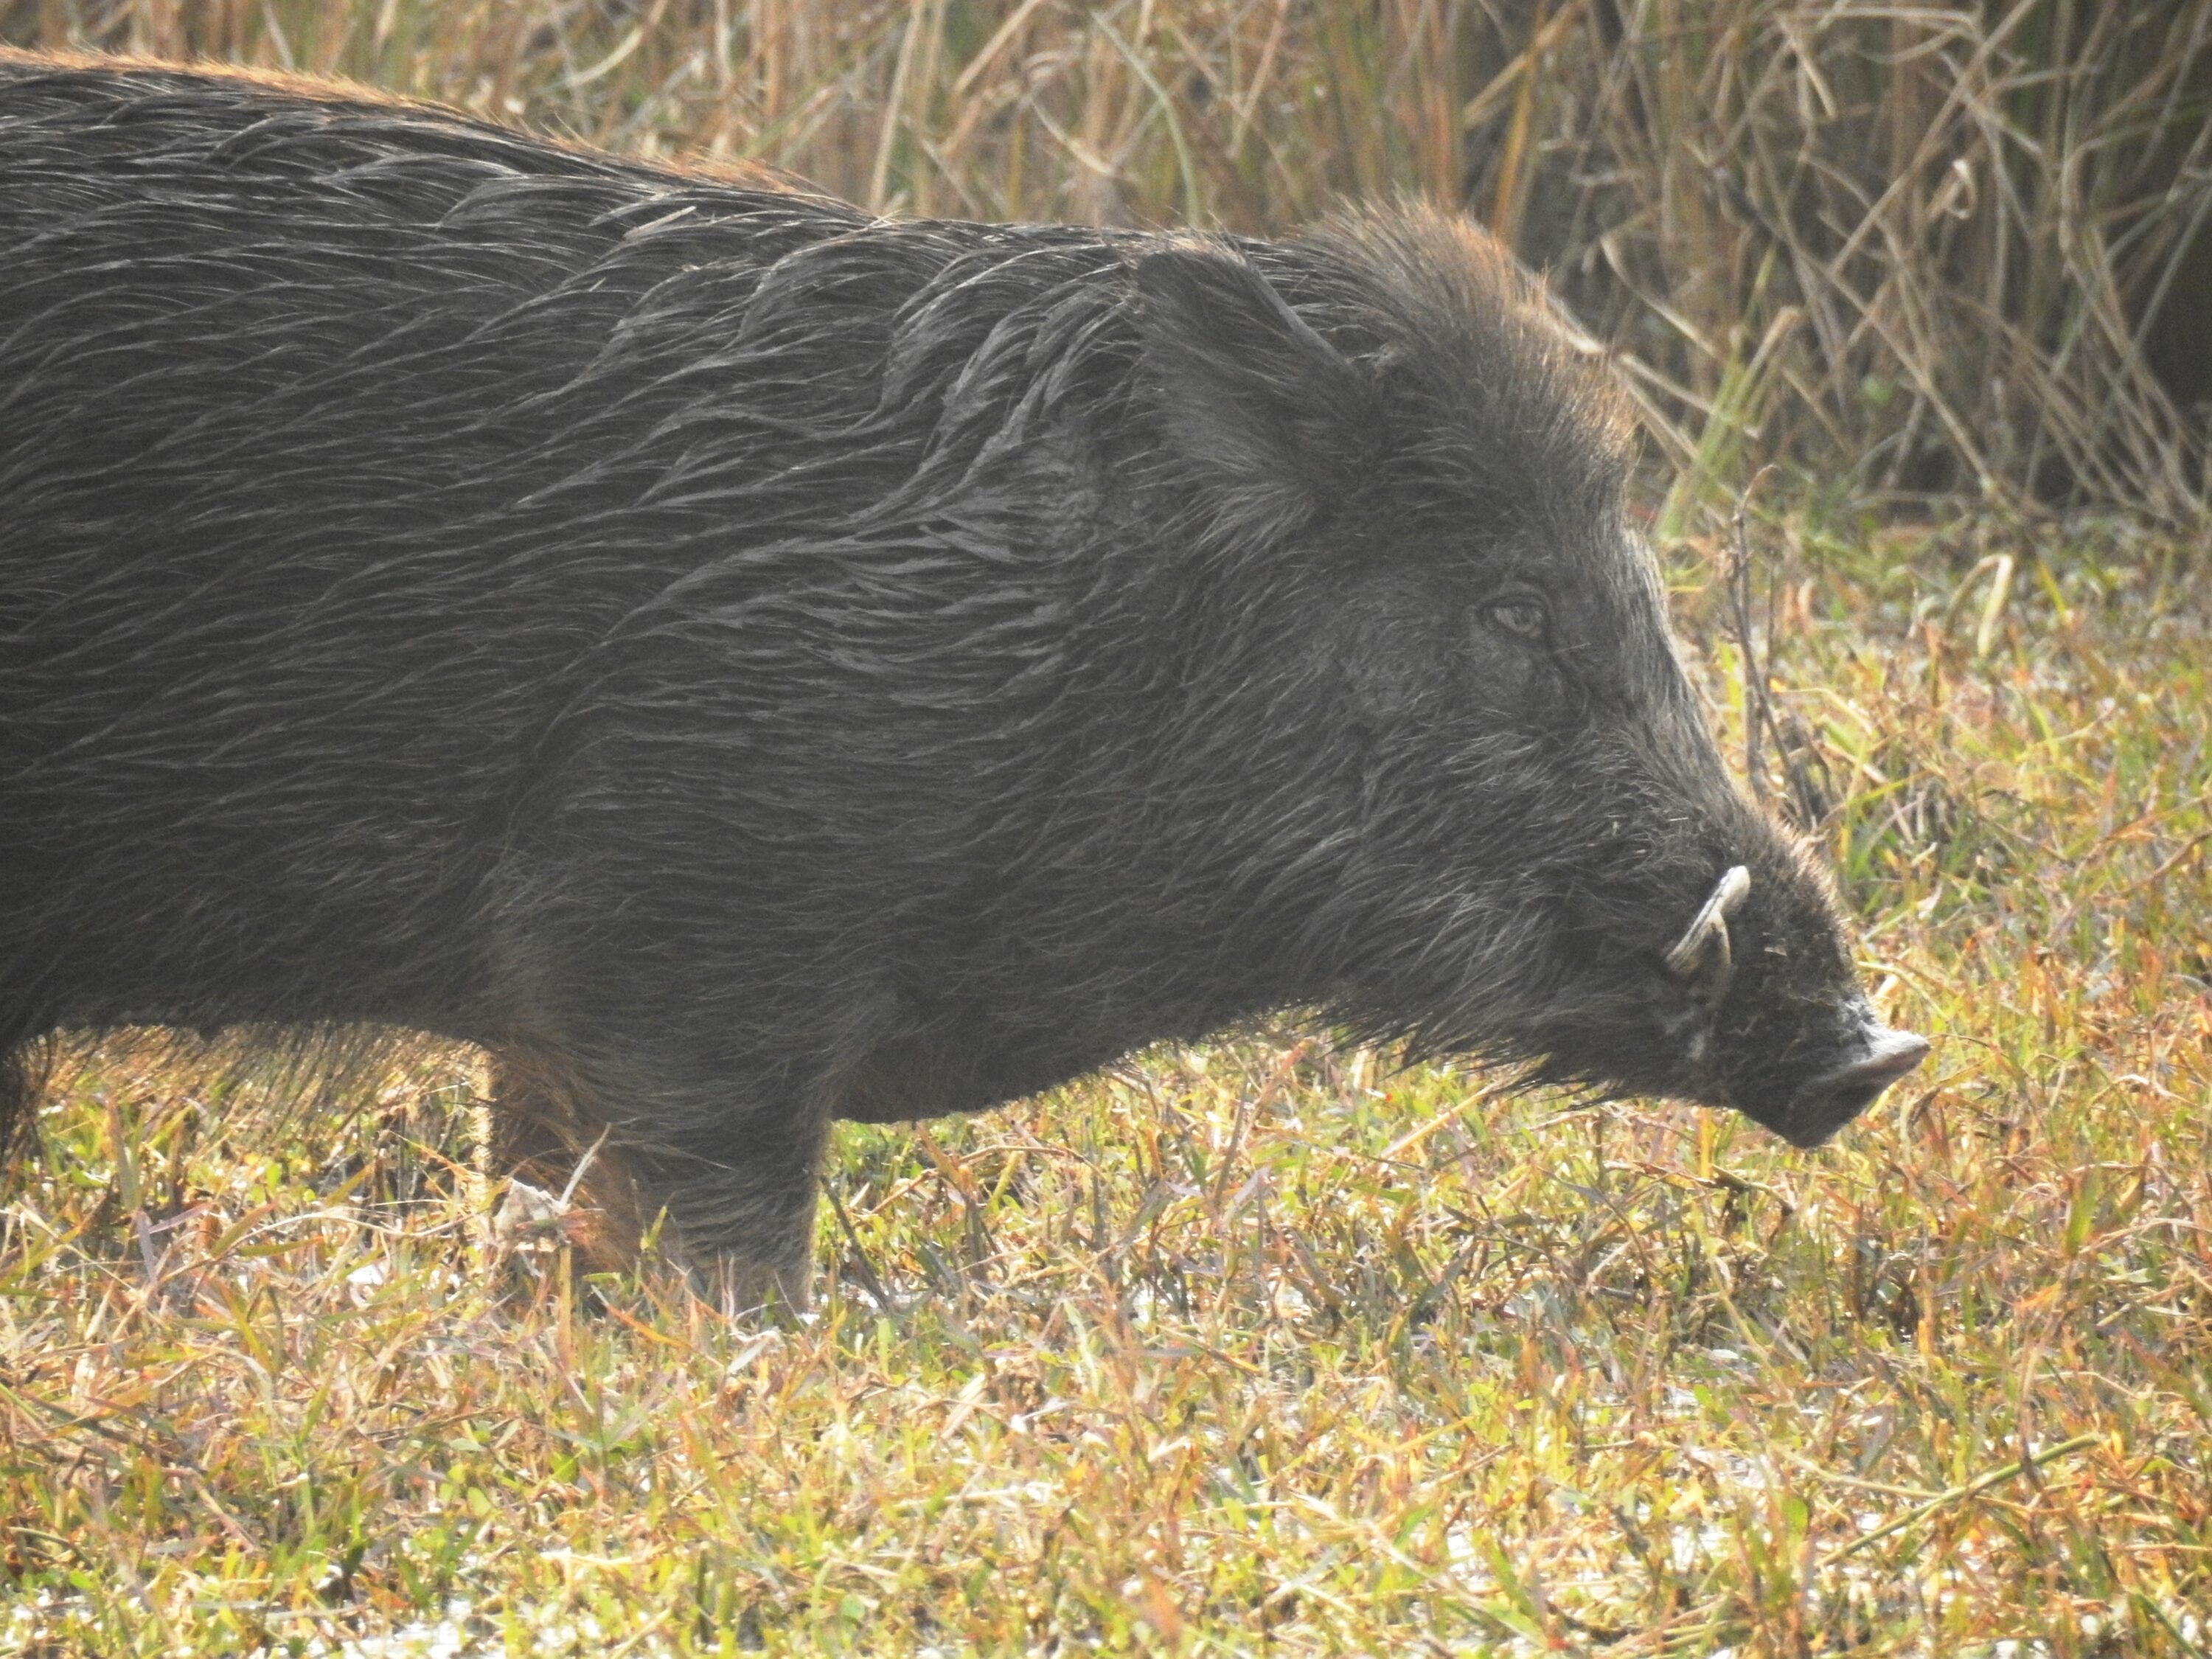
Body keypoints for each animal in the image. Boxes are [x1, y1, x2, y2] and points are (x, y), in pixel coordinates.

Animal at [0, 52, 1926, 1309]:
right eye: (1516, 611)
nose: (1875, 1041)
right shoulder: (684, 923)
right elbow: (719, 1238)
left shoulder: (563, 1010)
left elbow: (540, 1210)